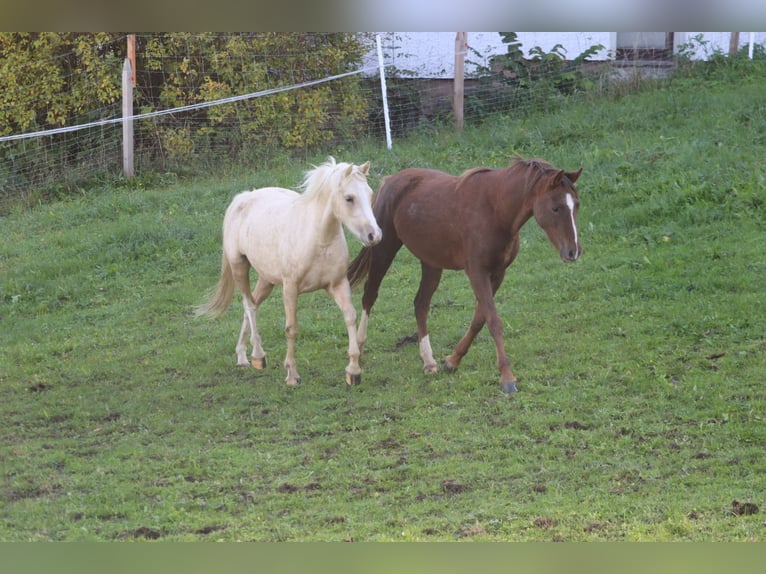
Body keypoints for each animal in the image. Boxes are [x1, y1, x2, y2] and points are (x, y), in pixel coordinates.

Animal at [195, 159, 380, 388]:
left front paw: (353, 370)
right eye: (349, 198)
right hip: (239, 267)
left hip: (266, 279)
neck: (319, 240)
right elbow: (291, 328)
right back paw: (258, 356)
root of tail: (242, 198)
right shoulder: (290, 288)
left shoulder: (338, 285)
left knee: (252, 304)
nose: (374, 235)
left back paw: (242, 356)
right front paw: (292, 374)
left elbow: (350, 317)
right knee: (249, 305)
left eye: (370, 194)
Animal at [352, 158, 584, 394]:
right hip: (384, 250)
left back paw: (428, 361)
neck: (495, 210)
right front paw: (507, 377)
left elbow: (479, 318)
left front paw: (452, 361)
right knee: (369, 296)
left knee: (421, 304)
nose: (573, 252)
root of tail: (390, 181)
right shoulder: (476, 271)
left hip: (431, 263)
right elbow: (493, 320)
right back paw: (357, 358)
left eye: (576, 205)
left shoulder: (498, 273)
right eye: (556, 208)